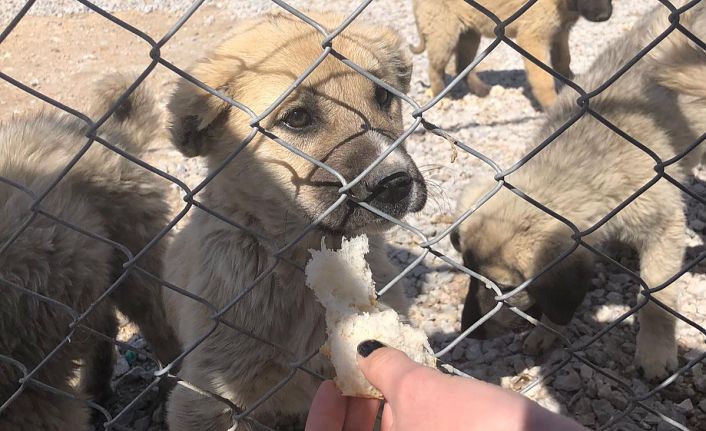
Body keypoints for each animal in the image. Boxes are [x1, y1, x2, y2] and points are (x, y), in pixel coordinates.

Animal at [0, 75, 180, 430]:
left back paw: (168, 398)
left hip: (135, 262)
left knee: (162, 329)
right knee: (104, 325)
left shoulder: (32, 401)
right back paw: (97, 391)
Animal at [411, 0, 612, 109]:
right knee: (435, 69)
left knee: (463, 65)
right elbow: (543, 78)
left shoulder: (560, 32)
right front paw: (551, 104)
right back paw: (442, 95)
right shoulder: (533, 38)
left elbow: (563, 61)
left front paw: (575, 82)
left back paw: (480, 90)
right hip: (444, 32)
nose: (604, 16)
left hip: (470, 34)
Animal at [450, 2, 706, 380]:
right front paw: (548, 330)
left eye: (506, 290)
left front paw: (655, 351)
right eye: (467, 269)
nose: (470, 331)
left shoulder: (664, 228)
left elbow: (656, 301)